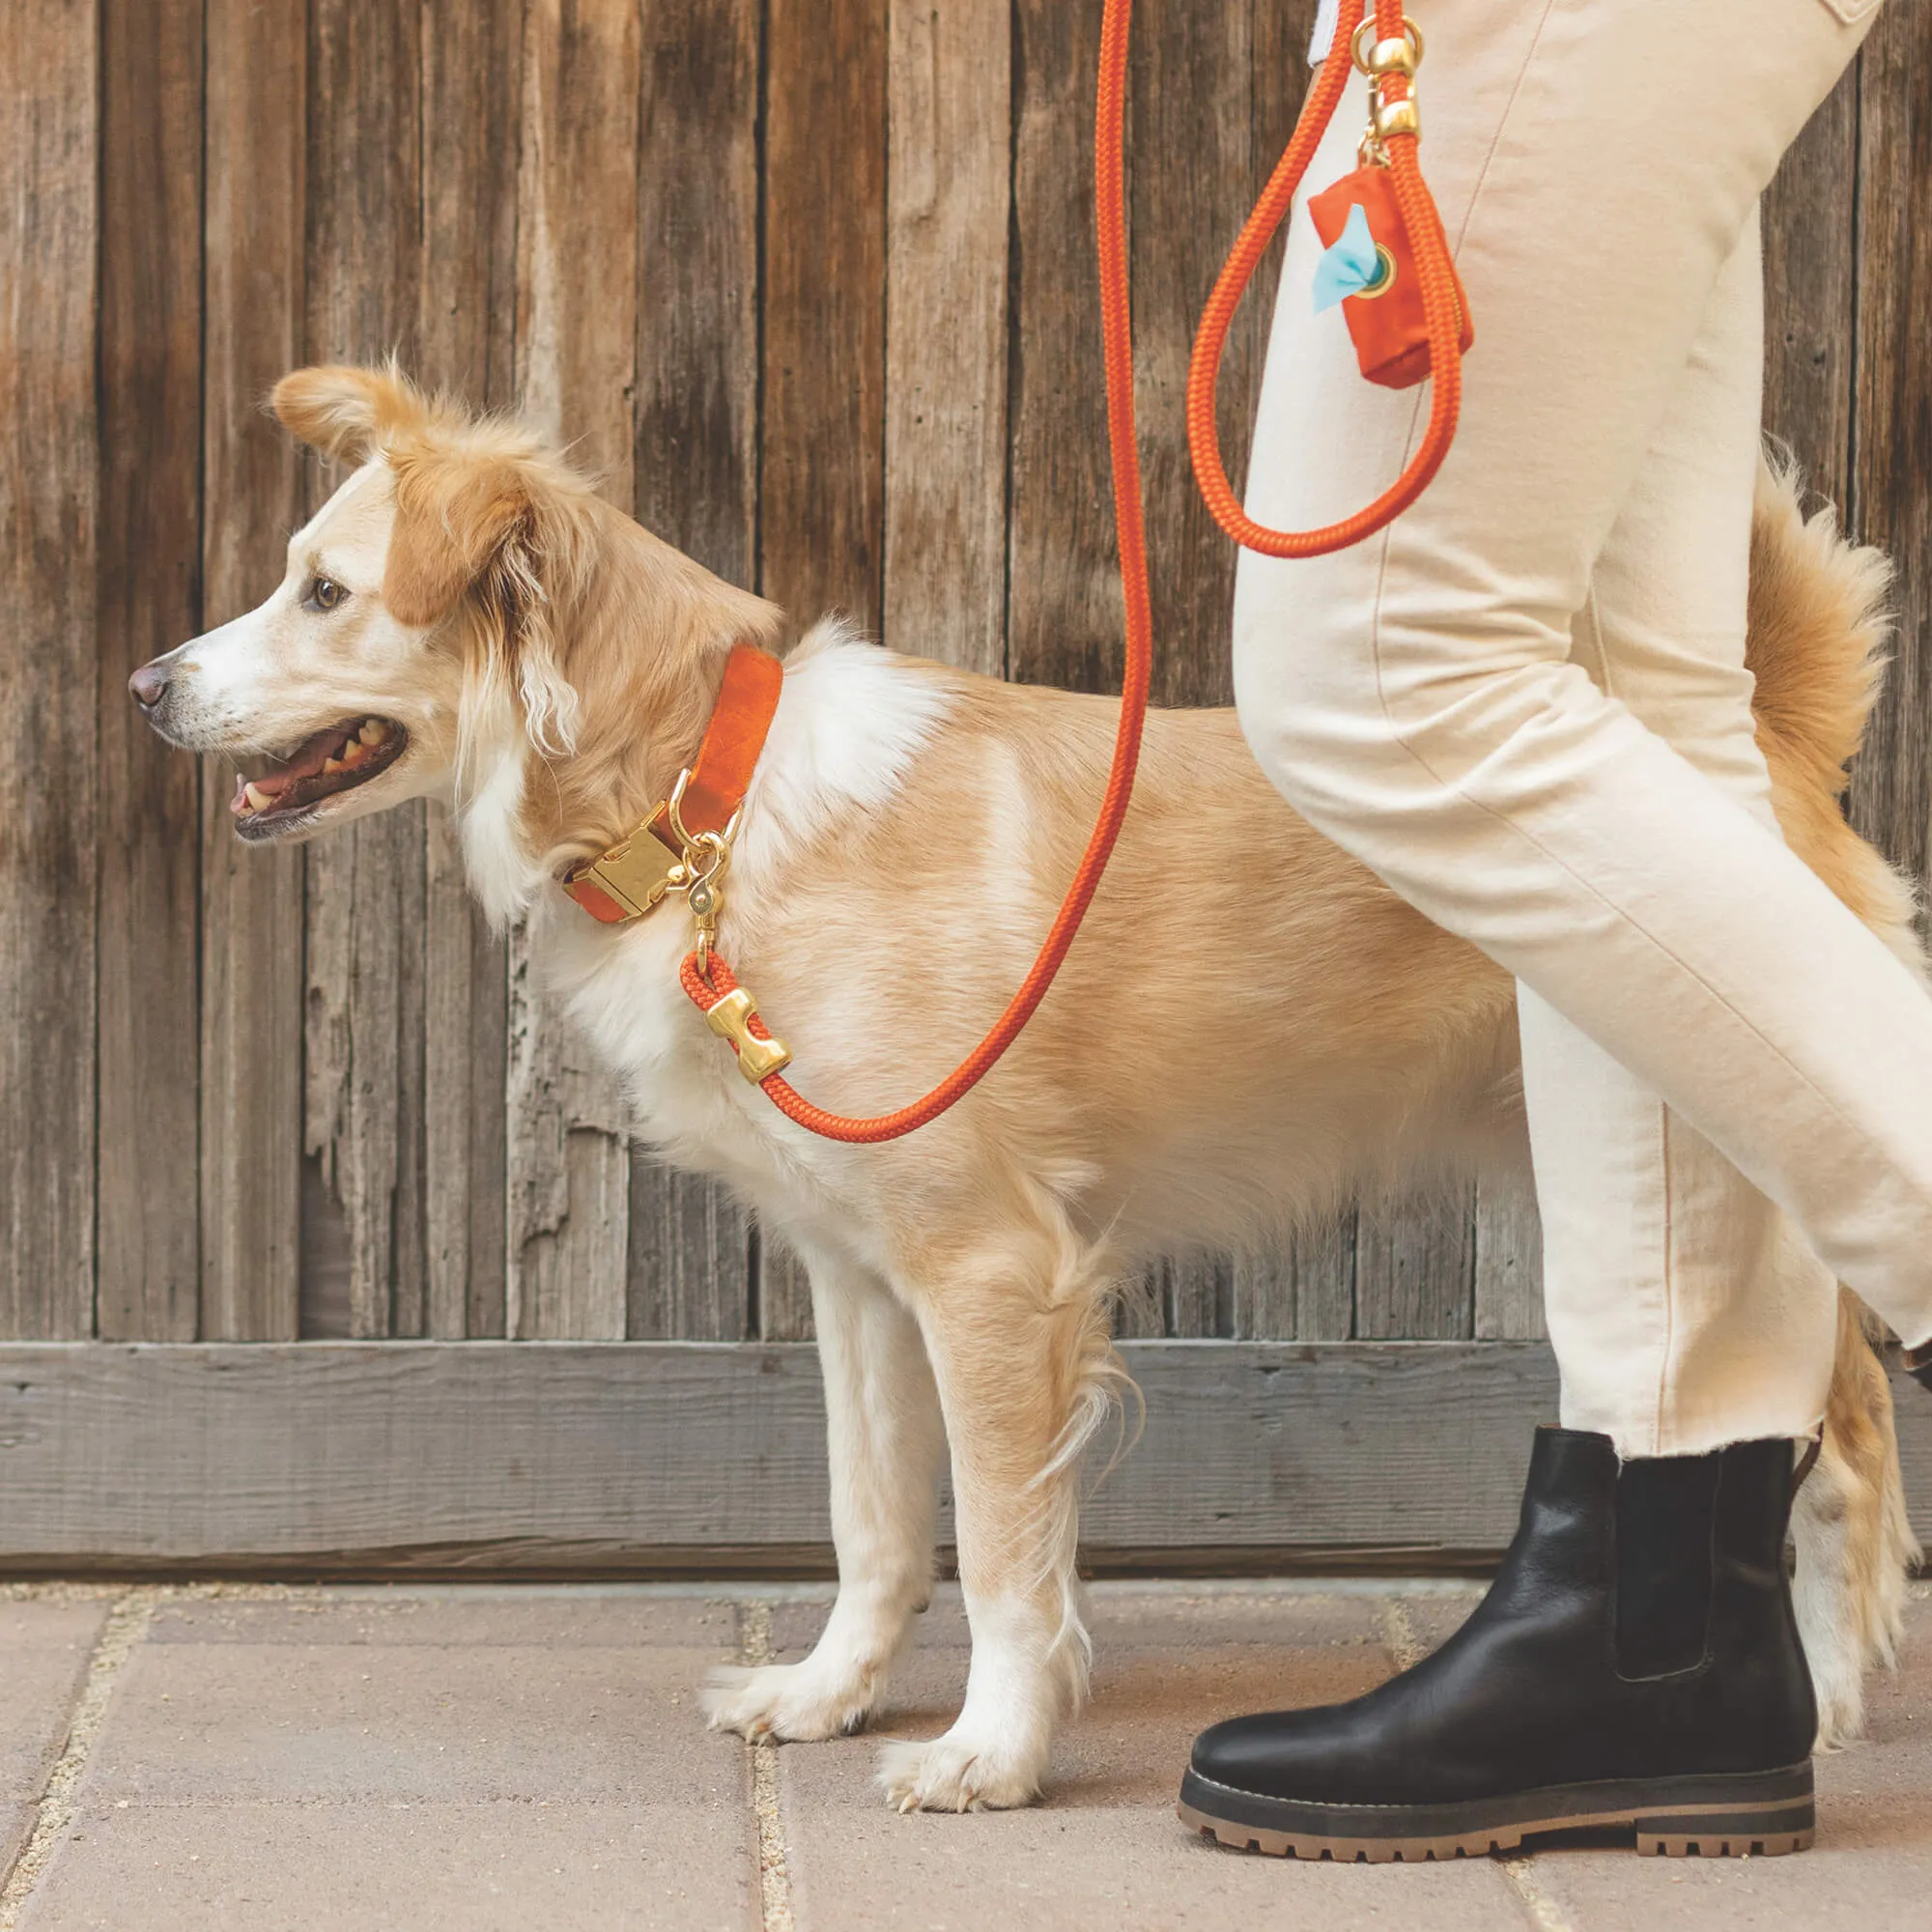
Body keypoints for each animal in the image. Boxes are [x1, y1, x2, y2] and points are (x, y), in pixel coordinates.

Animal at [136, 369, 1917, 1816]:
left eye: (323, 592)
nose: (147, 686)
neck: (711, 806)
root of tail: (1764, 733)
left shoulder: (992, 1279)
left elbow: (999, 1550)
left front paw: (992, 1753)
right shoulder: (860, 1282)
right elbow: (871, 1518)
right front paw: (830, 1695)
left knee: (1848, 1440)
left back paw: (1816, 1711)